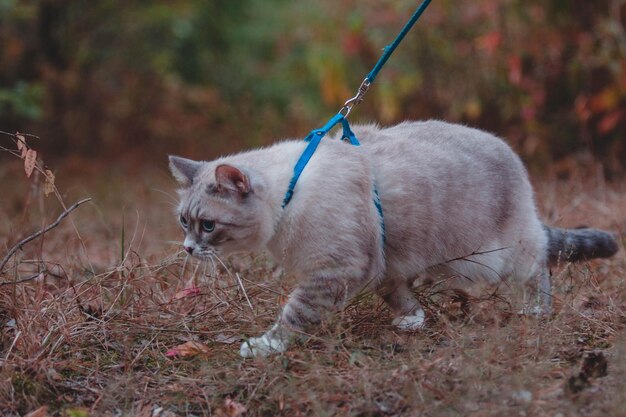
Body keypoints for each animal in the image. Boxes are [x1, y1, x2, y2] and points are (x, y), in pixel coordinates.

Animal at [168, 120, 616, 358]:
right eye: (184, 222)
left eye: (207, 226)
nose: (189, 249)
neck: (288, 193)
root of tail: (513, 155)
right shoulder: (381, 265)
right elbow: (398, 295)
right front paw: (412, 320)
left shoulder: (336, 271)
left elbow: (293, 316)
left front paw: (262, 347)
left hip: (504, 255)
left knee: (540, 266)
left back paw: (536, 310)